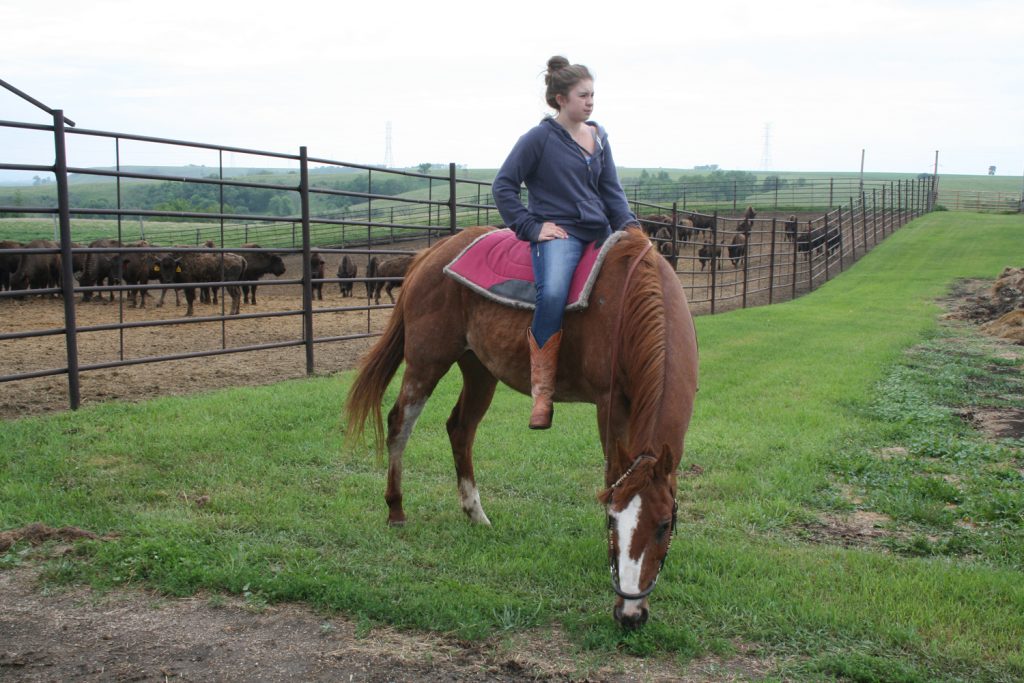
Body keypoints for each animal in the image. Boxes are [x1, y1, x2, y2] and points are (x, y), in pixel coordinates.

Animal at [342, 227, 696, 626]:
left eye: (665, 524)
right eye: (612, 521)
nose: (630, 614)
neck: (630, 299)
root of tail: (430, 255)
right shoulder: (609, 404)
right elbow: (611, 477)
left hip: (479, 369)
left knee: (460, 429)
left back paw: (475, 514)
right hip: (426, 361)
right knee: (400, 423)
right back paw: (396, 509)